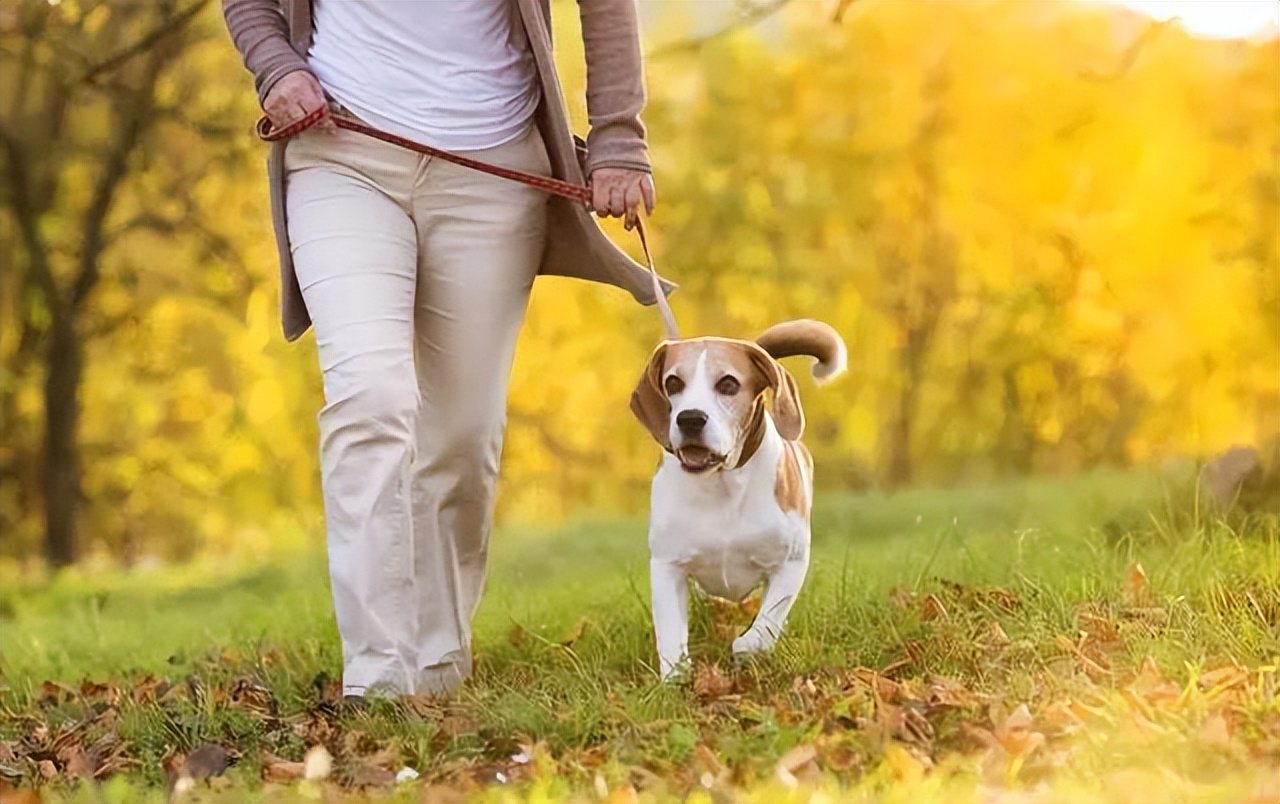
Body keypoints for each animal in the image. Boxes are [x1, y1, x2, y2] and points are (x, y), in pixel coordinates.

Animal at [632, 320, 849, 675]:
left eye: (728, 384)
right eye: (673, 382)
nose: (690, 419)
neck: (722, 484)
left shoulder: (791, 563)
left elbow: (767, 623)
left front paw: (747, 646)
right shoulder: (667, 565)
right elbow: (671, 632)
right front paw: (675, 677)